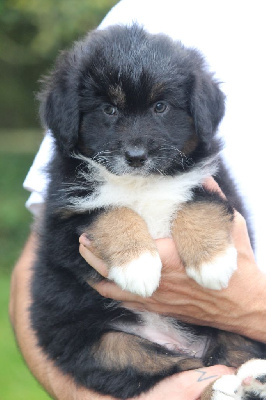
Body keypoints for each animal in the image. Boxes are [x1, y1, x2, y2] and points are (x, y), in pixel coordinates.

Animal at [30, 23, 264, 398]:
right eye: (109, 110)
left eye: (161, 107)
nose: (136, 156)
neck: (142, 184)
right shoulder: (66, 219)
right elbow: (113, 212)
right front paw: (138, 265)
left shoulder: (214, 181)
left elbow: (196, 203)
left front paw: (211, 262)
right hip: (104, 346)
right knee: (180, 368)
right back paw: (233, 386)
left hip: (231, 329)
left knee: (231, 353)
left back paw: (251, 380)